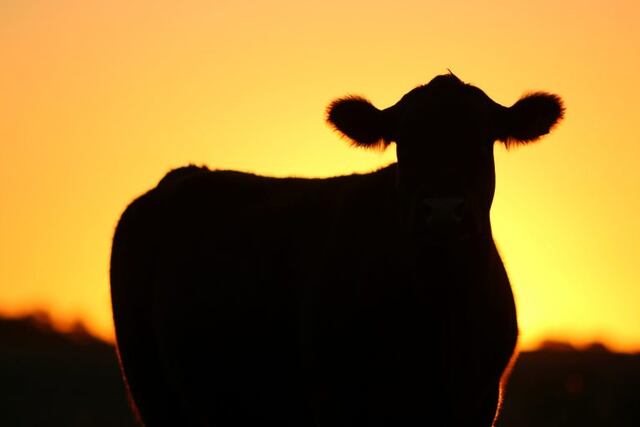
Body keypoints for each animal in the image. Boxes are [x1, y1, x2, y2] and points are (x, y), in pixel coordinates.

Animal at [110, 73, 564, 426]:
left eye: (482, 138)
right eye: (404, 140)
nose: (442, 212)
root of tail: (179, 177)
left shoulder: (480, 402)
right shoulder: (337, 401)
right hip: (151, 389)